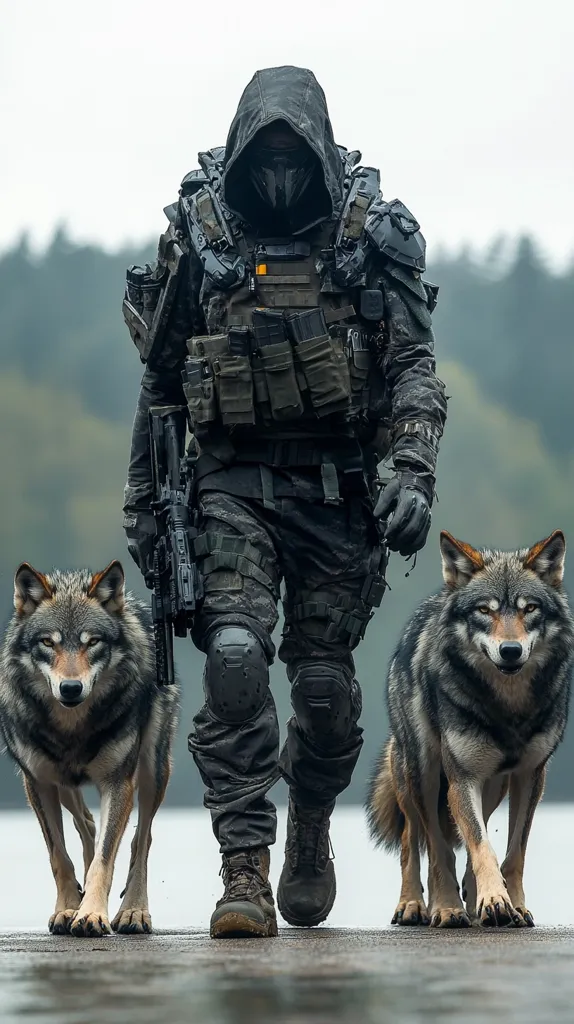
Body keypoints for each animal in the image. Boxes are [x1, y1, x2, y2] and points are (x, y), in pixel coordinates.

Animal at [0, 560, 178, 937]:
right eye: (48, 643)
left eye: (92, 642)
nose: (70, 688)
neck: (72, 728)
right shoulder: (38, 783)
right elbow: (59, 855)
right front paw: (69, 908)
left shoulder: (118, 782)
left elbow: (105, 859)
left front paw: (92, 913)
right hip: (66, 785)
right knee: (88, 824)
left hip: (152, 772)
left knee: (141, 840)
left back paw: (133, 911)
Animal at [367, 529, 573, 929]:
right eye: (484, 610)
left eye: (529, 609)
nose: (510, 651)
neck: (508, 708)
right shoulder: (462, 778)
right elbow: (475, 846)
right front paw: (483, 902)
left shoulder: (529, 776)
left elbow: (512, 852)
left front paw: (511, 903)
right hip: (420, 776)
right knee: (421, 841)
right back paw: (426, 906)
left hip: (493, 786)